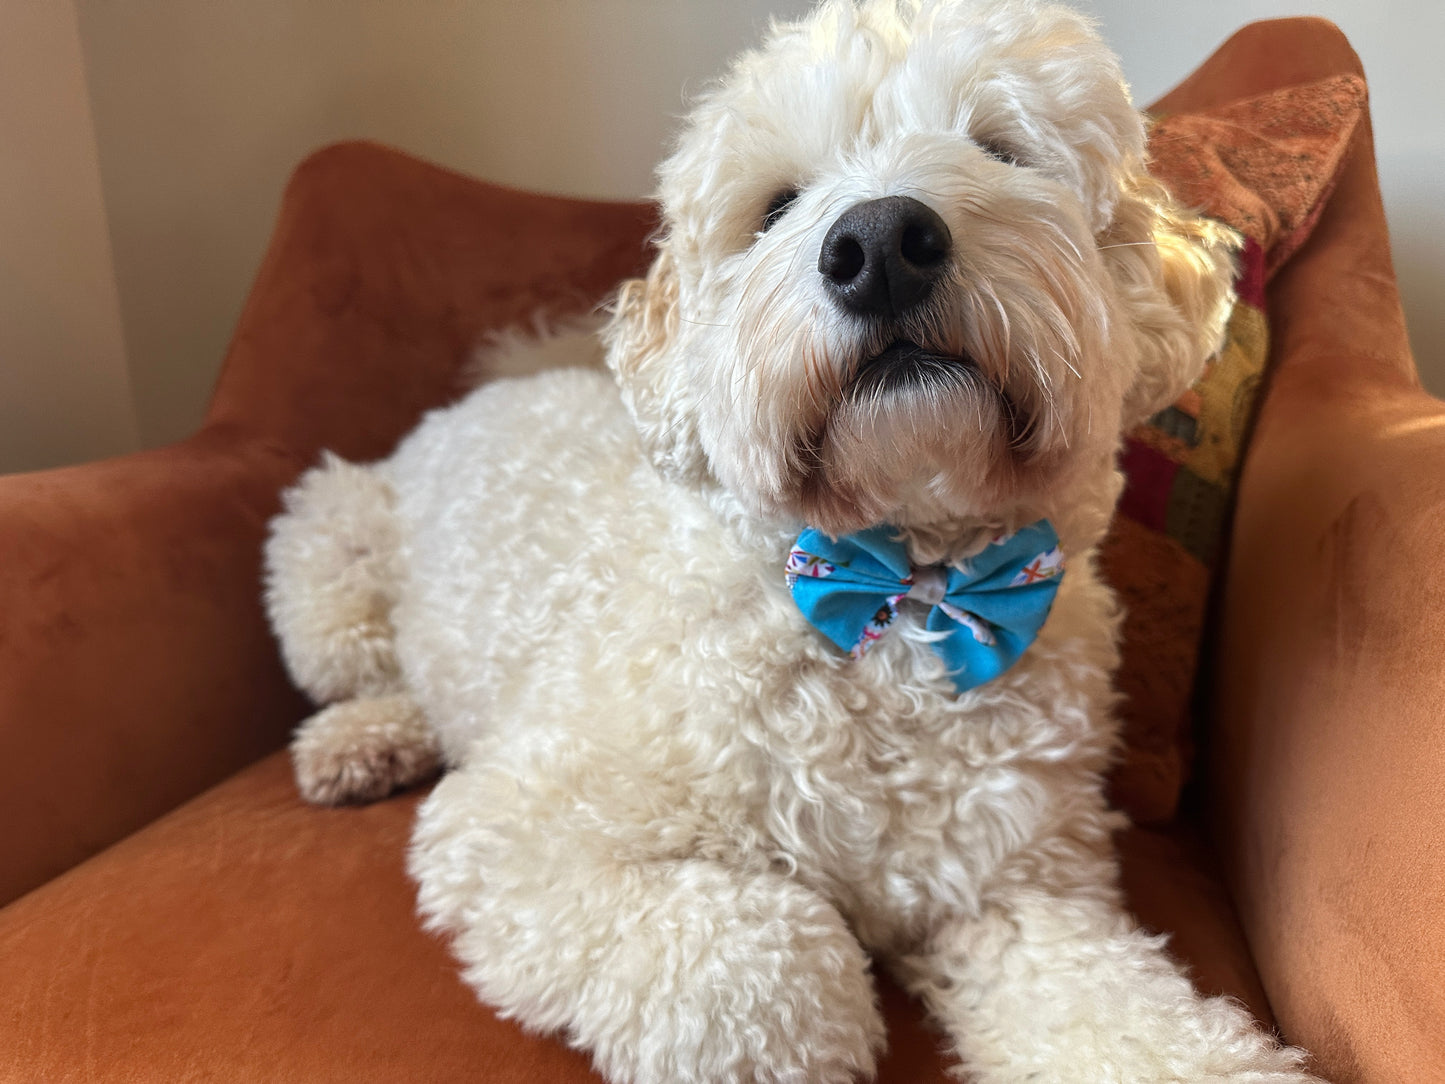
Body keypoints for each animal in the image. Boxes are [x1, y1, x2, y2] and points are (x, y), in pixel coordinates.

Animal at [265, 2, 1323, 1084]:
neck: (900, 591)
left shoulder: (1017, 892)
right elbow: (769, 975)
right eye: (776, 206)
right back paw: (361, 740)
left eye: (1000, 150)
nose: (881, 242)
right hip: (328, 553)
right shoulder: (522, 830)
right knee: (366, 670)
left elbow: (1127, 1020)